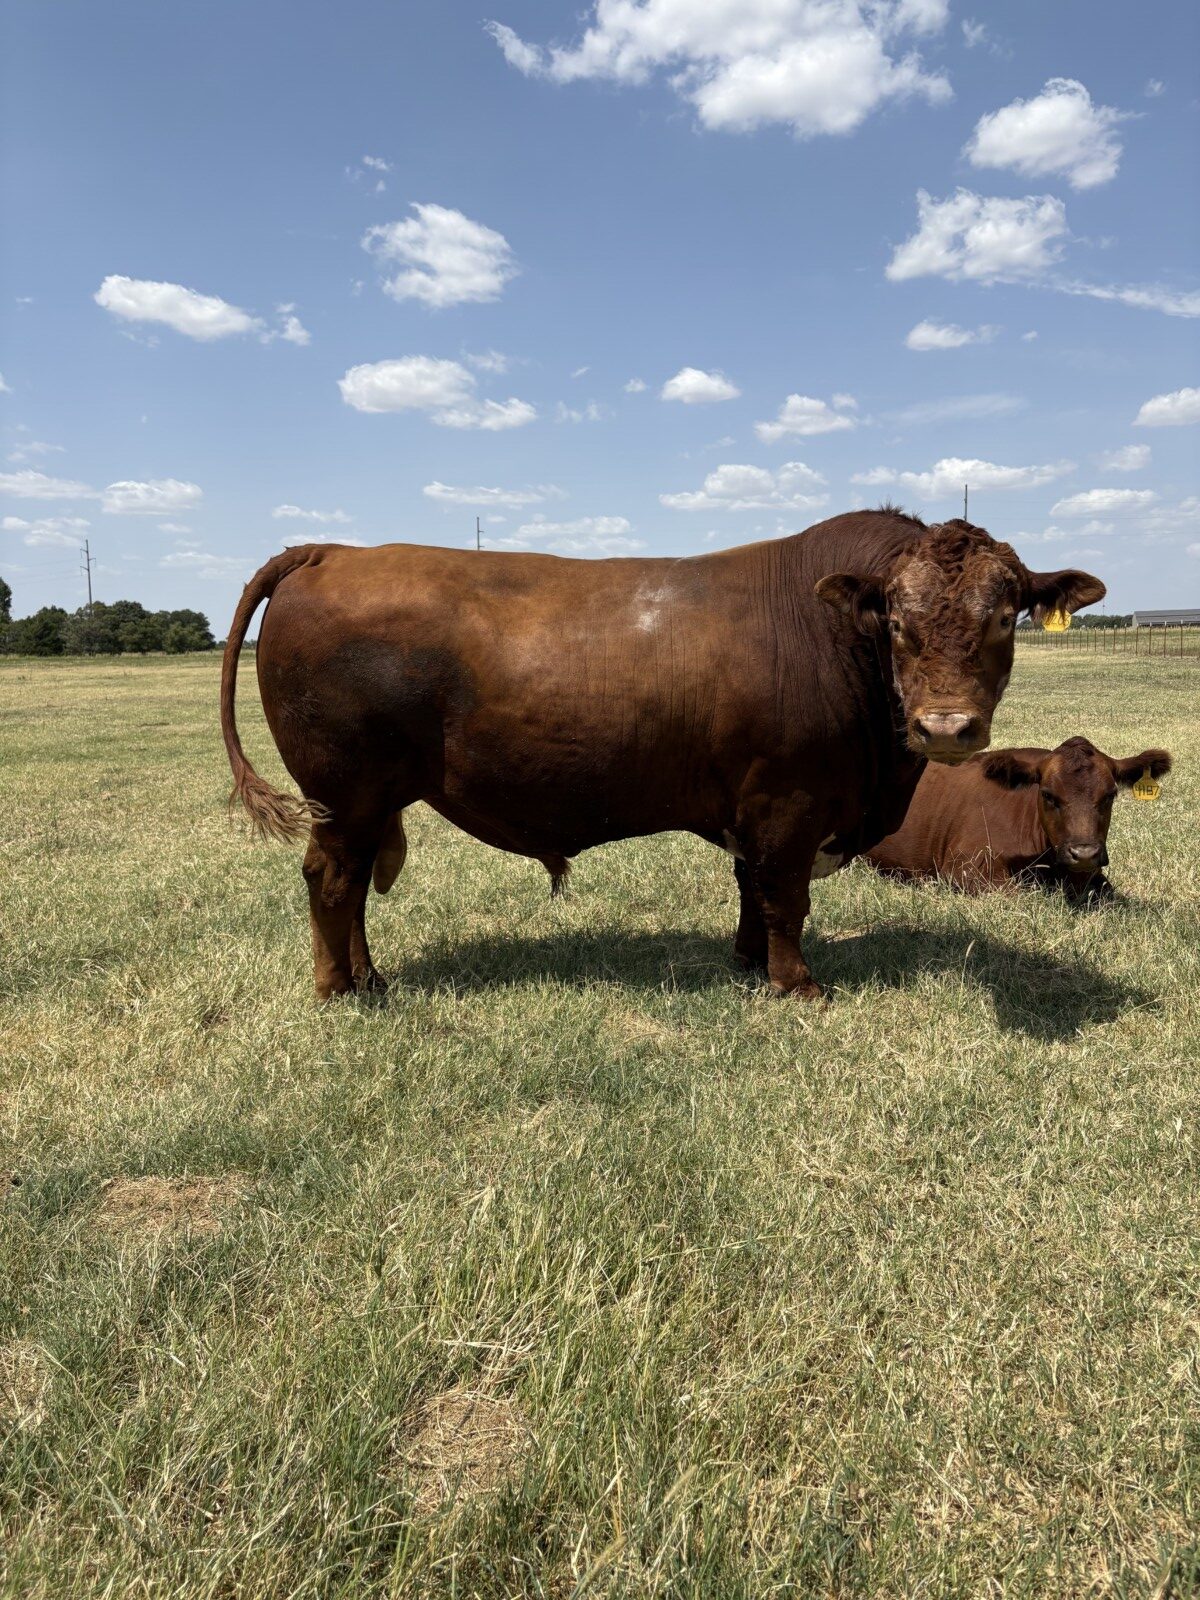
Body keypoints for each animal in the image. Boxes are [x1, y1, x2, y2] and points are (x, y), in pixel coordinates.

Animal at [219, 511, 1104, 1000]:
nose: (946, 727)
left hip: (364, 803)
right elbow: (785, 897)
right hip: (346, 792)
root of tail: (331, 550)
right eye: (895, 621)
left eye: (1005, 616)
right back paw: (342, 991)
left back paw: (370, 977)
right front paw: (796, 984)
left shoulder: (753, 806)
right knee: (333, 882)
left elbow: (752, 889)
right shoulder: (789, 802)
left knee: (354, 888)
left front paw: (746, 964)